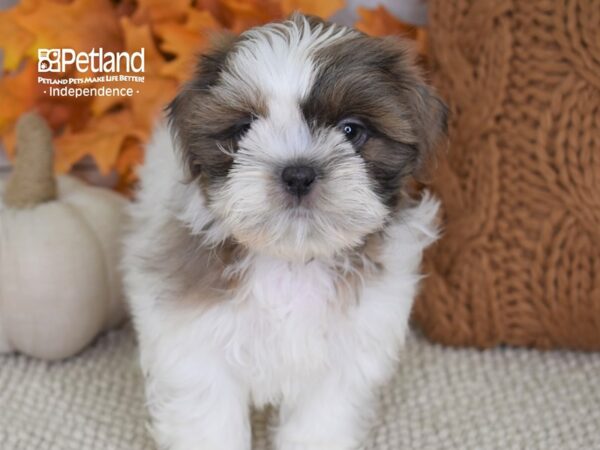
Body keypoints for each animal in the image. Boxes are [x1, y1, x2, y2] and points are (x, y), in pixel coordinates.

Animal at [124, 13, 448, 450]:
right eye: (244, 129)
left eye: (351, 131)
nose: (297, 173)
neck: (292, 262)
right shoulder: (197, 348)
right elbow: (209, 418)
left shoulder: (344, 359)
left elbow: (319, 423)